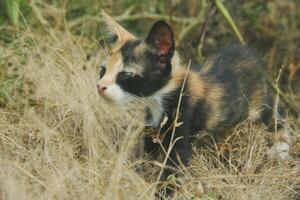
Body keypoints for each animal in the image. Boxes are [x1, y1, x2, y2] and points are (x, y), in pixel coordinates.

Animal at [97, 10, 280, 187]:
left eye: (125, 74)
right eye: (103, 70)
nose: (100, 86)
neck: (159, 99)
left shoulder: (183, 123)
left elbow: (172, 172)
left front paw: (160, 191)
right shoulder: (152, 132)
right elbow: (149, 159)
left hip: (257, 108)